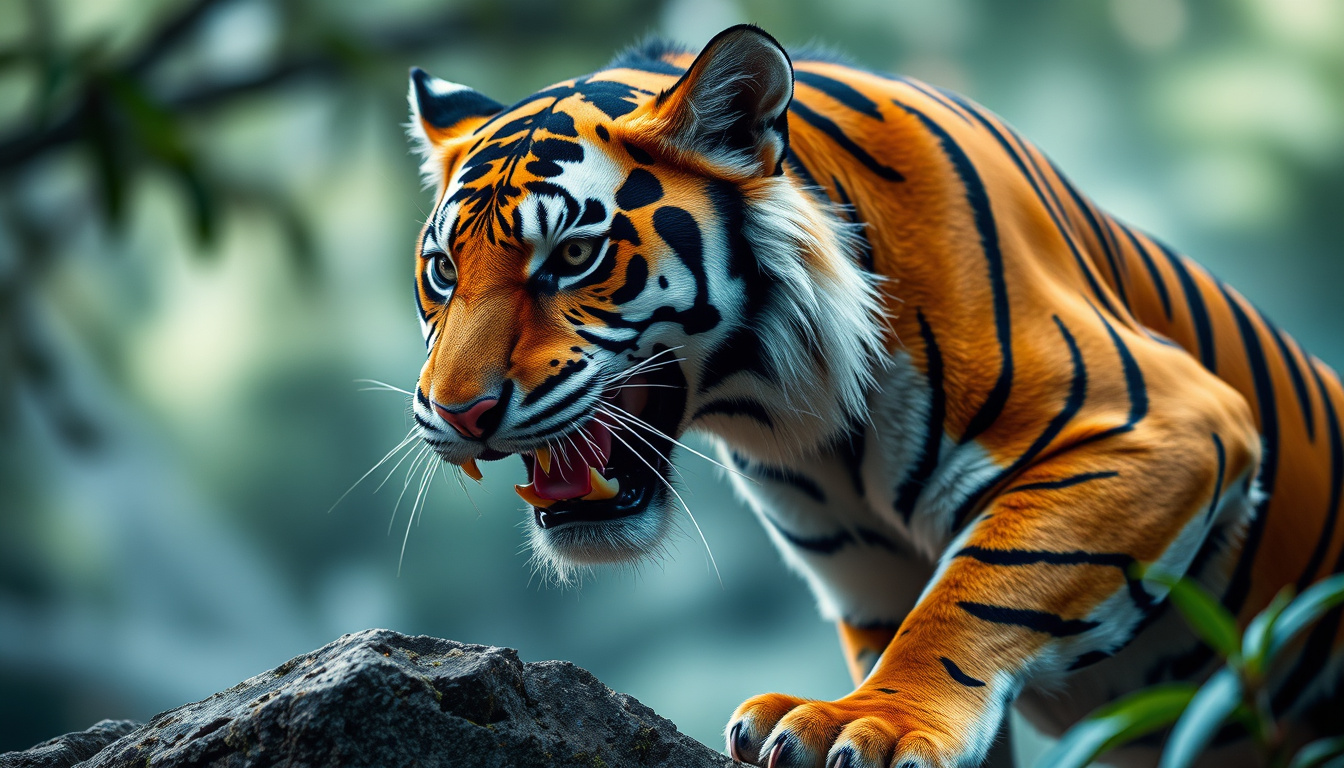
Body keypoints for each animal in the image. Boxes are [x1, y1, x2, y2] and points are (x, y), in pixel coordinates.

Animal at [403, 24, 1344, 768]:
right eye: (444, 271)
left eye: (571, 256)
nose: (457, 413)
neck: (797, 411)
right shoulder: (868, 574)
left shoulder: (1167, 426)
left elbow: (976, 592)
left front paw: (869, 725)